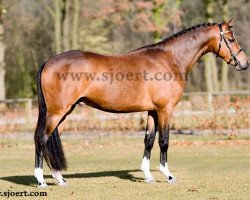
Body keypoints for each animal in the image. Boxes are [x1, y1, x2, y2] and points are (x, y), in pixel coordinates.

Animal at [33, 19, 248, 187]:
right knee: (42, 138)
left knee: (47, 139)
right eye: (230, 39)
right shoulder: (165, 110)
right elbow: (164, 141)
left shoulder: (152, 111)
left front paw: (148, 176)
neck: (170, 59)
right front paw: (168, 175)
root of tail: (48, 62)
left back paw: (59, 178)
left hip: (63, 113)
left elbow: (149, 141)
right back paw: (42, 180)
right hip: (57, 112)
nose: (245, 63)